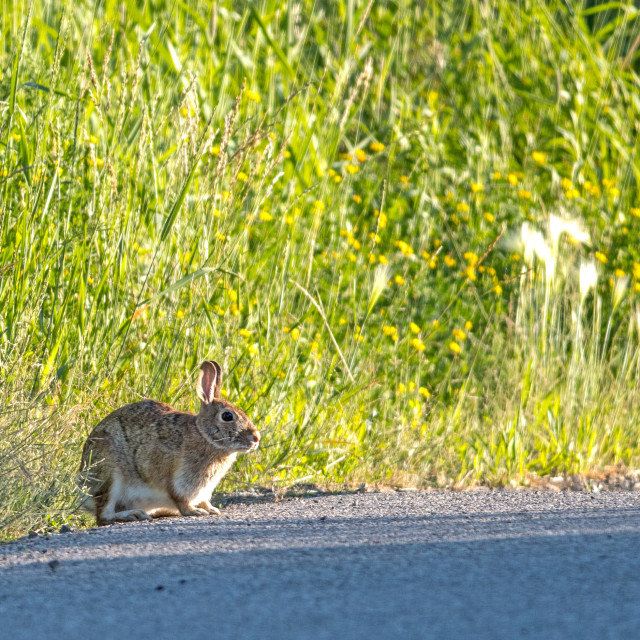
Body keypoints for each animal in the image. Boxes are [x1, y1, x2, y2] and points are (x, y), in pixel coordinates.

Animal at [78, 360, 260, 524]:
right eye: (227, 416)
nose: (256, 438)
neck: (204, 435)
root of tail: (82, 488)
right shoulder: (177, 482)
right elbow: (181, 500)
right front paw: (195, 512)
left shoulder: (202, 490)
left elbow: (203, 501)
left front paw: (211, 509)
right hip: (109, 474)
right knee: (103, 516)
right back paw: (133, 515)